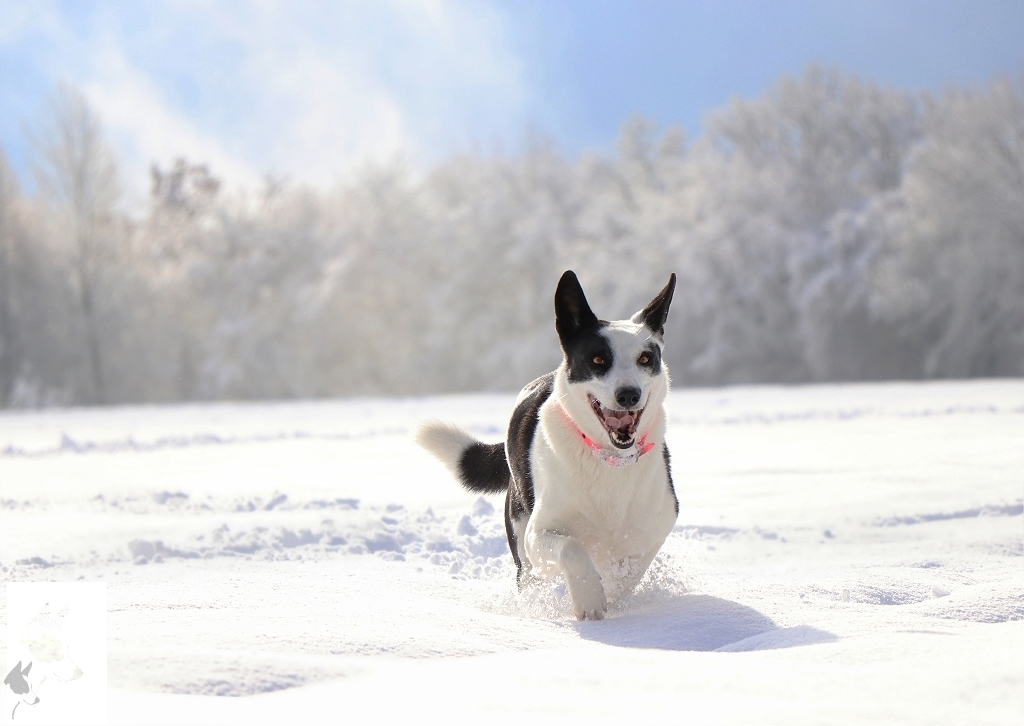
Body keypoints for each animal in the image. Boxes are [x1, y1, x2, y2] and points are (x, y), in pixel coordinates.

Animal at [417, 268, 679, 618]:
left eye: (645, 358)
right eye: (598, 359)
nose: (628, 395)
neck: (608, 458)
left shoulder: (655, 529)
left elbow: (628, 570)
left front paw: (611, 597)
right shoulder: (538, 534)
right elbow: (572, 548)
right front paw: (589, 599)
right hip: (521, 535)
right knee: (532, 576)